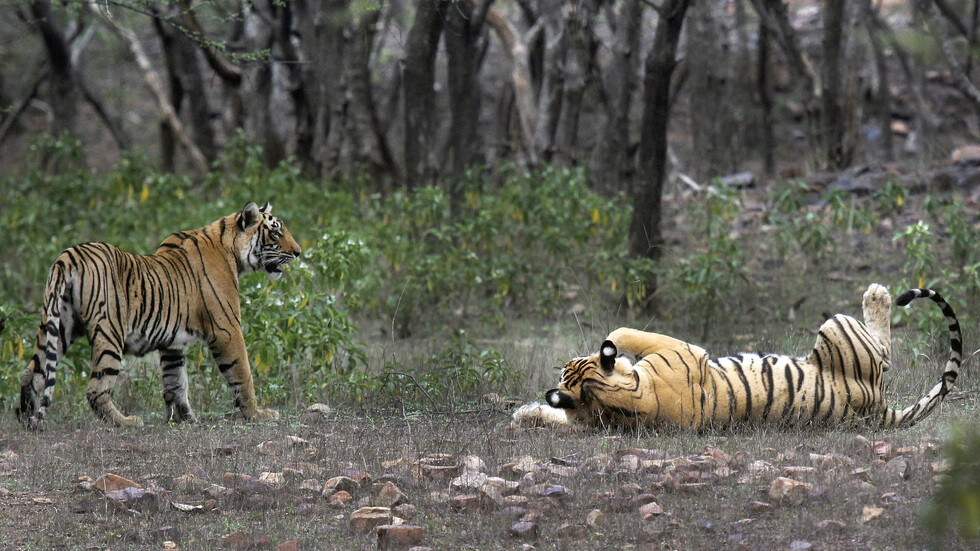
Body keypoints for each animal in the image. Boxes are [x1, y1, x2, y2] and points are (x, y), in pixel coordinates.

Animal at [18, 202, 302, 426]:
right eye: (276, 232)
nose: (298, 252)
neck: (231, 249)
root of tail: (69, 256)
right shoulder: (226, 329)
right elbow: (242, 374)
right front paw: (257, 414)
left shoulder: (172, 344)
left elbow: (176, 381)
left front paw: (184, 418)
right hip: (109, 331)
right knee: (96, 388)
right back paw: (127, 422)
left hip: (59, 325)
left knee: (32, 372)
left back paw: (26, 418)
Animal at [516, 284, 960, 432]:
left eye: (567, 366)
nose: (567, 359)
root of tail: (879, 408)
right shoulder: (682, 349)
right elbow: (624, 334)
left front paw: (524, 413)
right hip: (838, 326)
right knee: (884, 351)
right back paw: (878, 294)